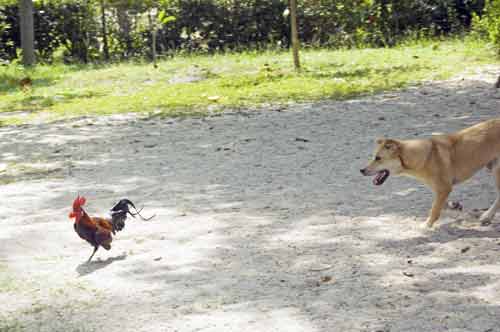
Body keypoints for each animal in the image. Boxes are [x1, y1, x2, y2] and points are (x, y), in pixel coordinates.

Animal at [362, 119, 500, 228]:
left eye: (378, 158)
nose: (361, 170)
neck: (426, 157)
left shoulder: (444, 188)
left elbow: (434, 209)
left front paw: (426, 225)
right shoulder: (441, 189)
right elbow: (442, 204)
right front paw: (454, 206)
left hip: (497, 172)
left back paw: (487, 216)